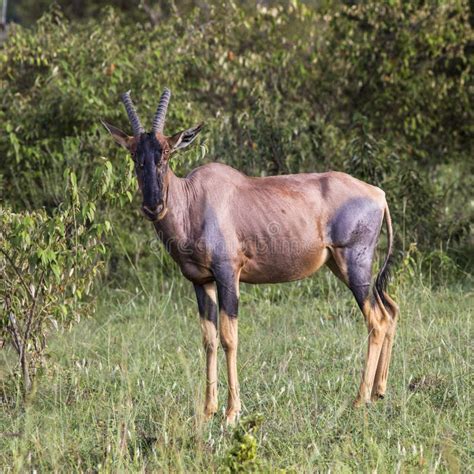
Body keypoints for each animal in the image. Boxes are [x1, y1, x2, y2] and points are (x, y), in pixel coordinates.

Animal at [102, 90, 398, 424]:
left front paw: (232, 413)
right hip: (342, 266)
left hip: (355, 265)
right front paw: (208, 410)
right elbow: (208, 339)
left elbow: (229, 337)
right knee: (389, 312)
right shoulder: (200, 281)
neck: (195, 199)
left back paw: (360, 400)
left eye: (165, 153)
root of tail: (378, 194)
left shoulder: (228, 274)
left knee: (377, 320)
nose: (153, 206)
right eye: (134, 155)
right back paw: (378, 392)